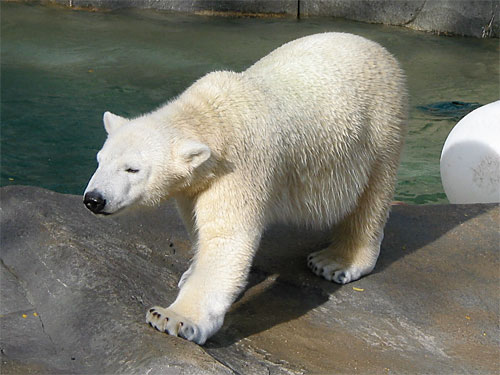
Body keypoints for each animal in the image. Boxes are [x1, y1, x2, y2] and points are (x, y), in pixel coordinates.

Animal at [84, 33, 408, 346]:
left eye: (132, 169)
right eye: (100, 160)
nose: (93, 199)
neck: (213, 118)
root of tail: (378, 48)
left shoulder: (241, 167)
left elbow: (227, 236)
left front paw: (172, 318)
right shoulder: (195, 185)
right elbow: (199, 226)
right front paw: (190, 273)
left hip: (379, 126)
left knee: (371, 197)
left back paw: (336, 261)